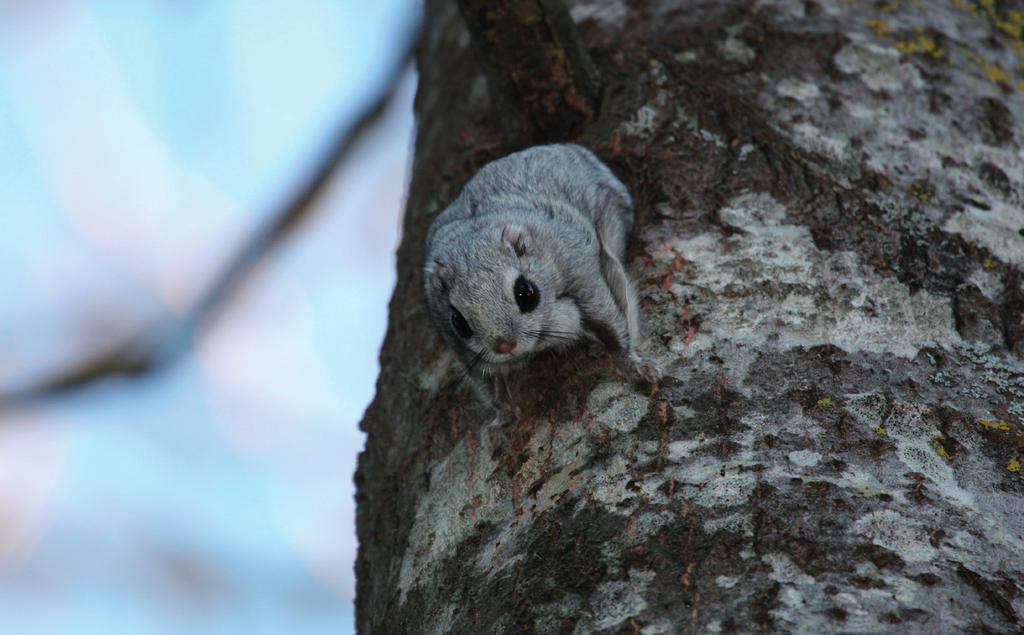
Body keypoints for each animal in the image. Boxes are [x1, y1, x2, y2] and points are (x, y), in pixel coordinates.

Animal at [421, 143, 655, 411]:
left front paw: (633, 364)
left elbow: (611, 320)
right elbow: (485, 378)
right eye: (458, 321)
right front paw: (504, 410)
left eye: (527, 293)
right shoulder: (453, 339)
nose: (504, 346)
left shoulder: (581, 272)